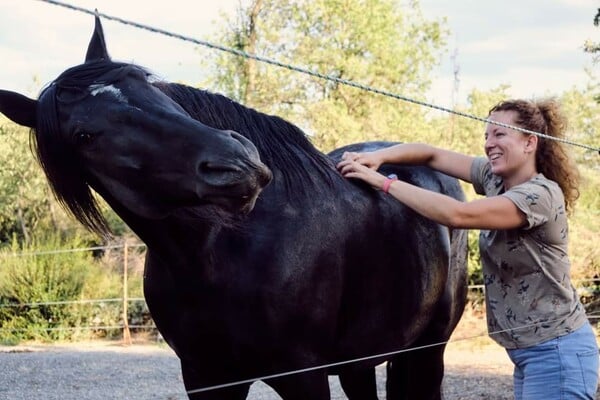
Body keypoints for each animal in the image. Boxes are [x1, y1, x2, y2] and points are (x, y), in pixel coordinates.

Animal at [0, 17, 466, 398]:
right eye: (83, 136)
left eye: (147, 84)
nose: (237, 164)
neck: (219, 251)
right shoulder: (207, 377)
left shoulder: (303, 376)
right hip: (361, 360)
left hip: (428, 349)